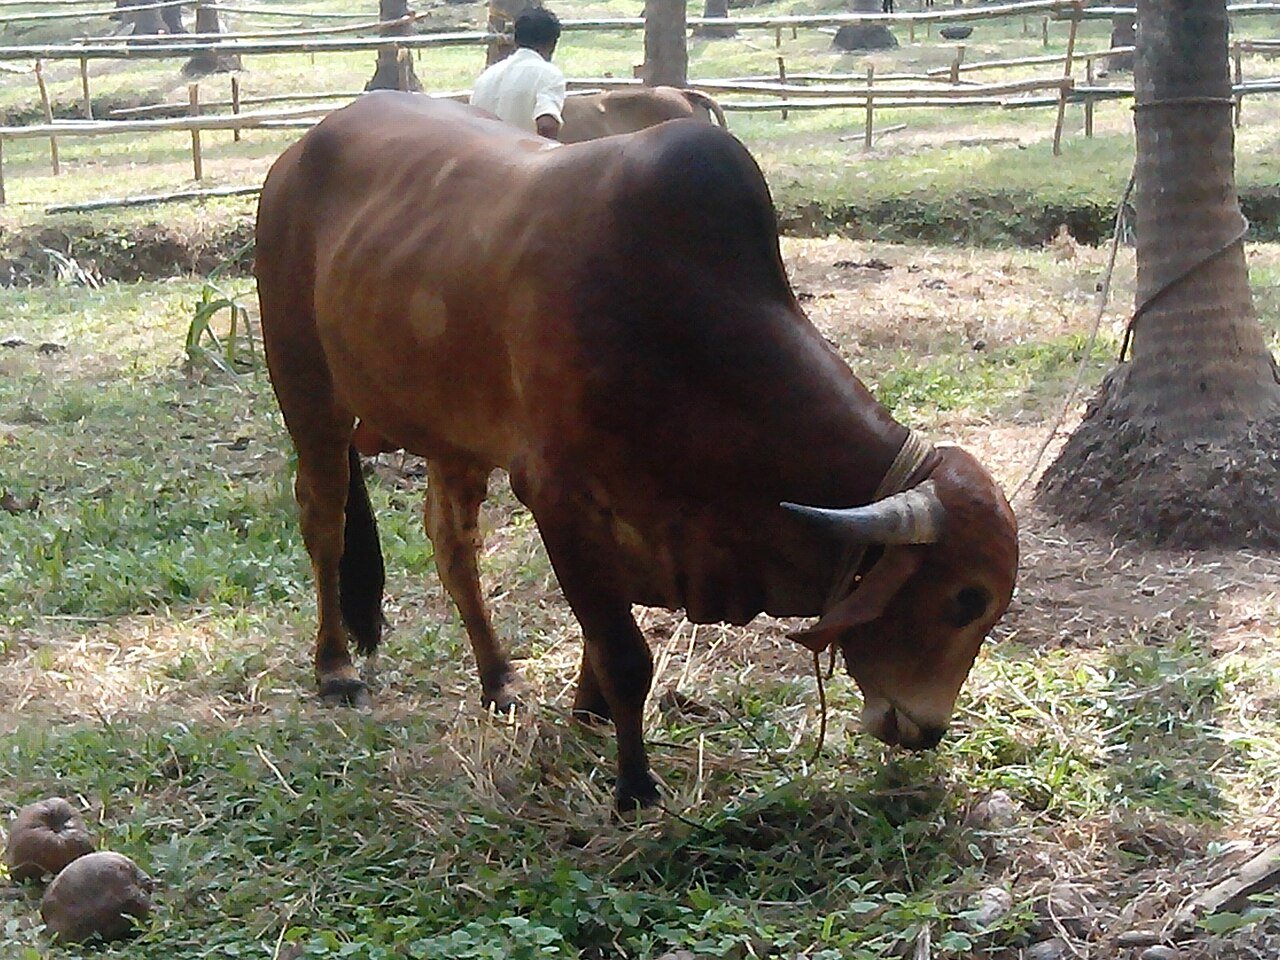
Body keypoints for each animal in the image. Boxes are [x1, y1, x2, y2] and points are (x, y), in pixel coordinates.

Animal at [255, 92, 1018, 811]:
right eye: (965, 599)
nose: (928, 729)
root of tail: (297, 152)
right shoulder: (559, 496)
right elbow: (623, 652)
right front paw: (635, 785)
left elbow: (600, 637)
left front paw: (586, 714)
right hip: (308, 390)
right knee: (323, 522)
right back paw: (335, 669)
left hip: (453, 435)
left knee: (453, 549)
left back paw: (498, 679)